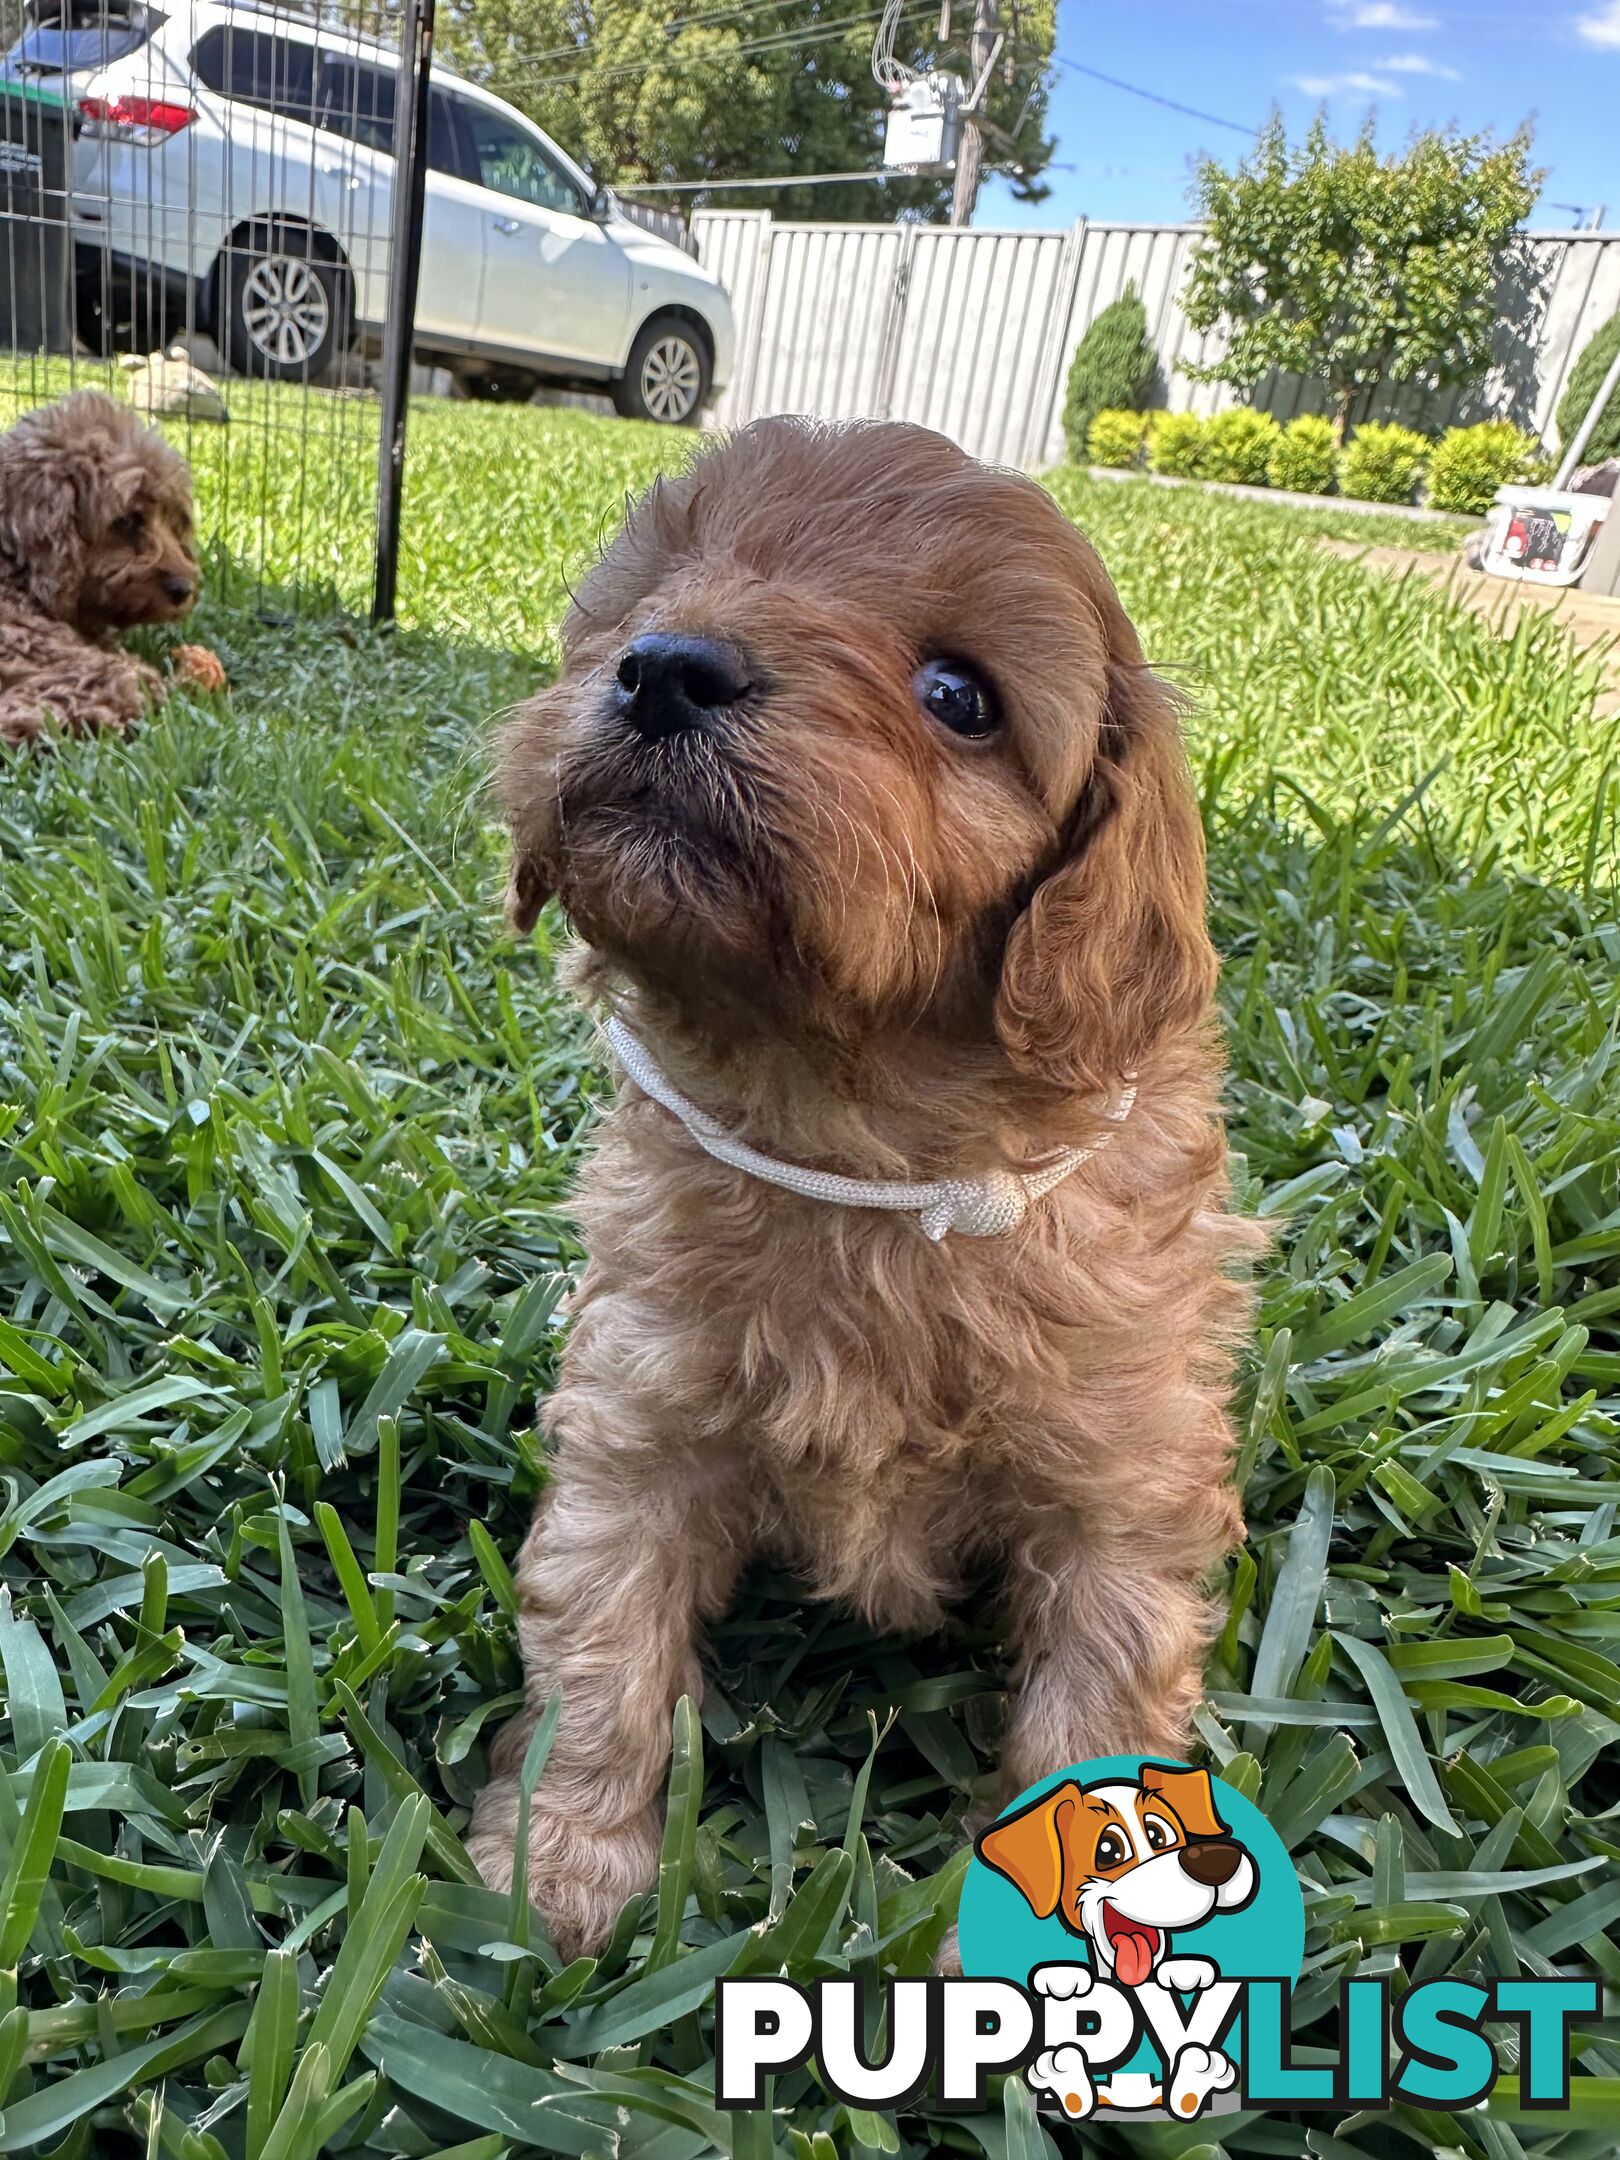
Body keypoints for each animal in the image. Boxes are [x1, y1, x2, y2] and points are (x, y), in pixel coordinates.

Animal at [475, 421, 1261, 1961]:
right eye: (666, 585)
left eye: (961, 696)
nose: (666, 664)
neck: (862, 1151)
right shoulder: (637, 1420)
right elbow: (601, 1640)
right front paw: (561, 1869)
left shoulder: (1124, 1494)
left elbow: (1101, 1701)